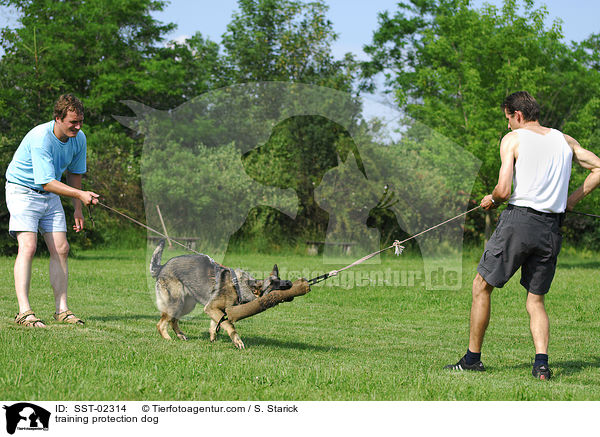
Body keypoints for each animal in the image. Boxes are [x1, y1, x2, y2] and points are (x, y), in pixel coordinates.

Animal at [149, 238, 292, 348]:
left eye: (279, 279)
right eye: (273, 284)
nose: (290, 283)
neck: (239, 286)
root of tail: (162, 266)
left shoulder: (217, 310)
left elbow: (216, 324)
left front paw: (213, 338)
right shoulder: (211, 308)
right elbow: (229, 325)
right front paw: (237, 340)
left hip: (187, 305)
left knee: (173, 320)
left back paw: (180, 335)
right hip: (177, 303)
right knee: (160, 324)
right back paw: (168, 338)